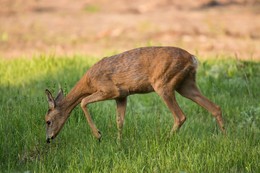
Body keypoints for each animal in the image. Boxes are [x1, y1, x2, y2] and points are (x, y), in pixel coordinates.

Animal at [44, 46, 225, 143]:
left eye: (47, 121)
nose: (48, 139)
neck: (89, 82)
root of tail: (193, 58)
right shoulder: (122, 95)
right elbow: (119, 121)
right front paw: (118, 143)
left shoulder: (110, 90)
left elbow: (83, 102)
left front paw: (98, 135)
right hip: (186, 84)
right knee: (215, 107)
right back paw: (225, 136)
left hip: (163, 83)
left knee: (180, 116)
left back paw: (166, 139)